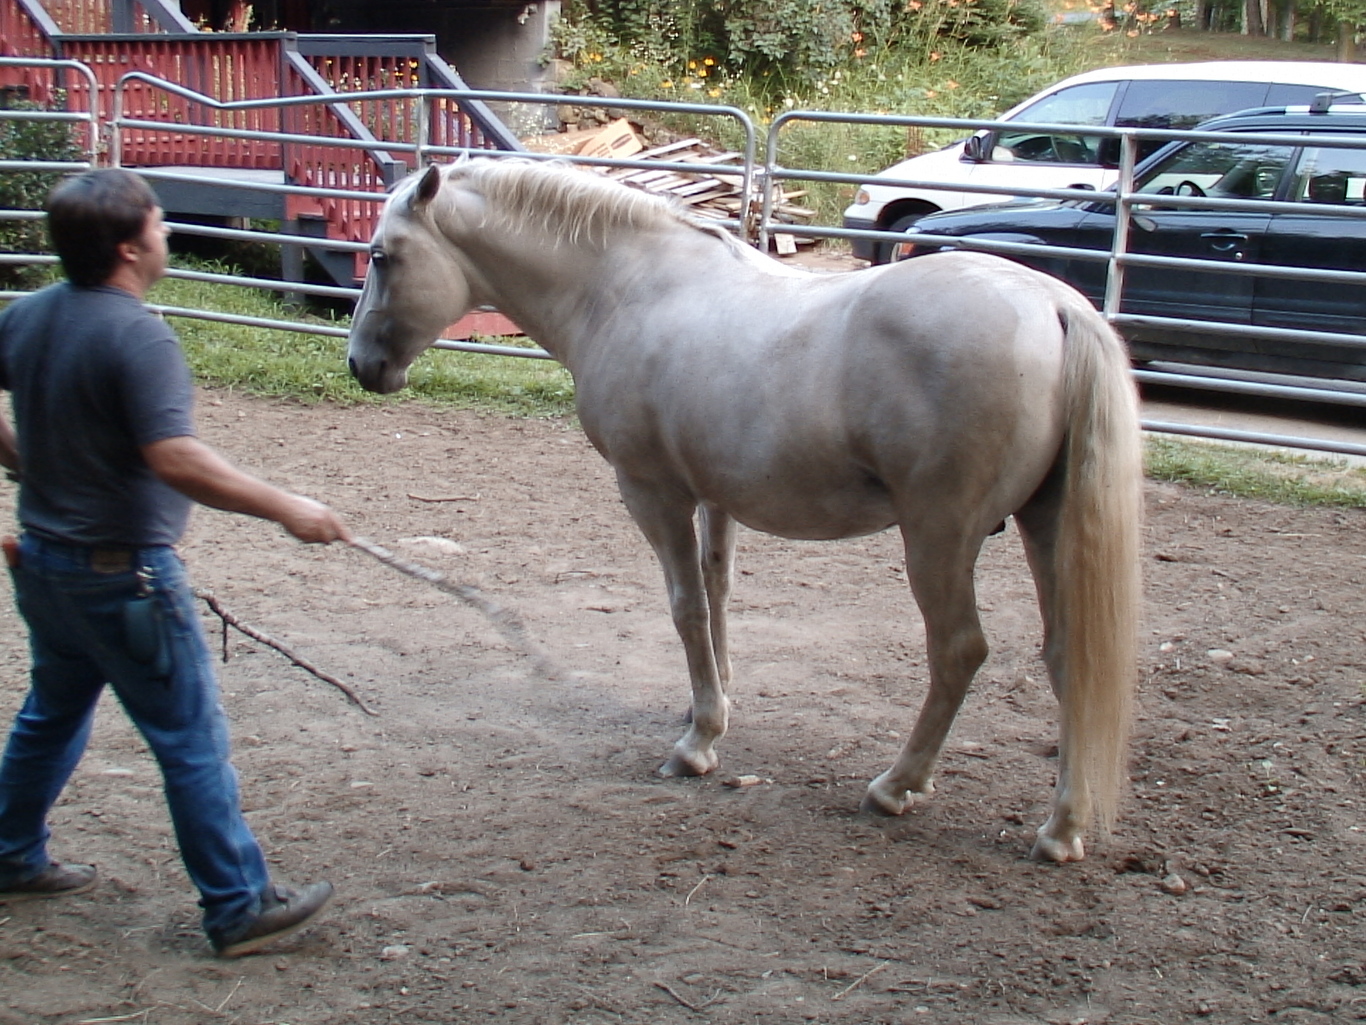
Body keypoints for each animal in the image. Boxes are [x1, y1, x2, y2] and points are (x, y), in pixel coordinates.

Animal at [346, 158, 1143, 863]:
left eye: (382, 257)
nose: (361, 366)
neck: (626, 288)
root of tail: (1054, 305)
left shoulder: (652, 491)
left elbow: (686, 605)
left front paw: (697, 742)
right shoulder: (715, 496)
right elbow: (718, 593)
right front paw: (713, 706)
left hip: (938, 538)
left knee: (958, 652)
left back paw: (896, 786)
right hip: (1045, 527)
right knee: (1068, 658)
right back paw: (1062, 827)